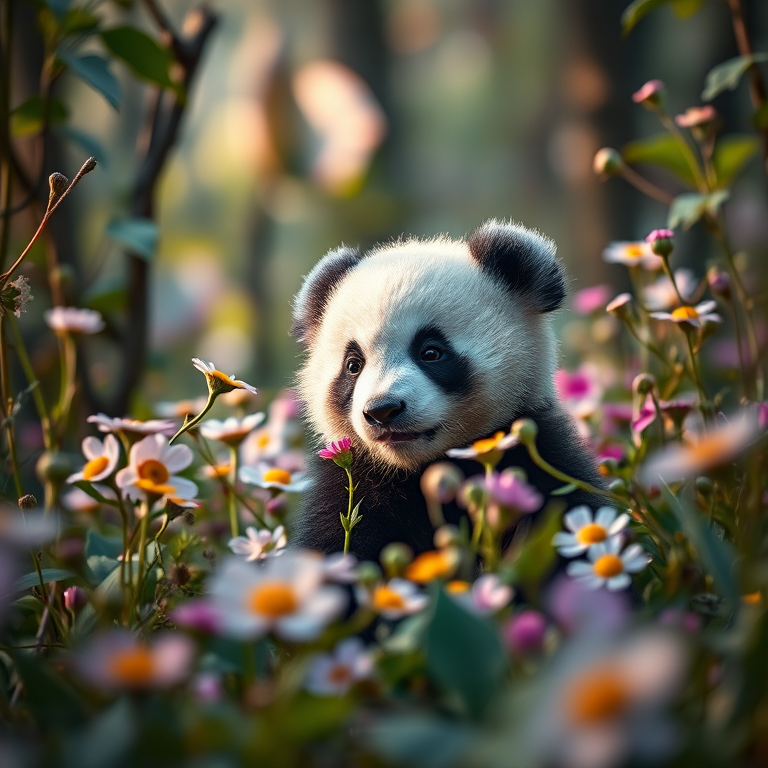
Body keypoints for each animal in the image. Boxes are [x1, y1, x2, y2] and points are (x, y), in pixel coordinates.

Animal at [290, 219, 605, 562]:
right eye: (353, 365)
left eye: (431, 352)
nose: (382, 410)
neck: (419, 471)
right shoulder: (354, 485)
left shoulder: (542, 462)